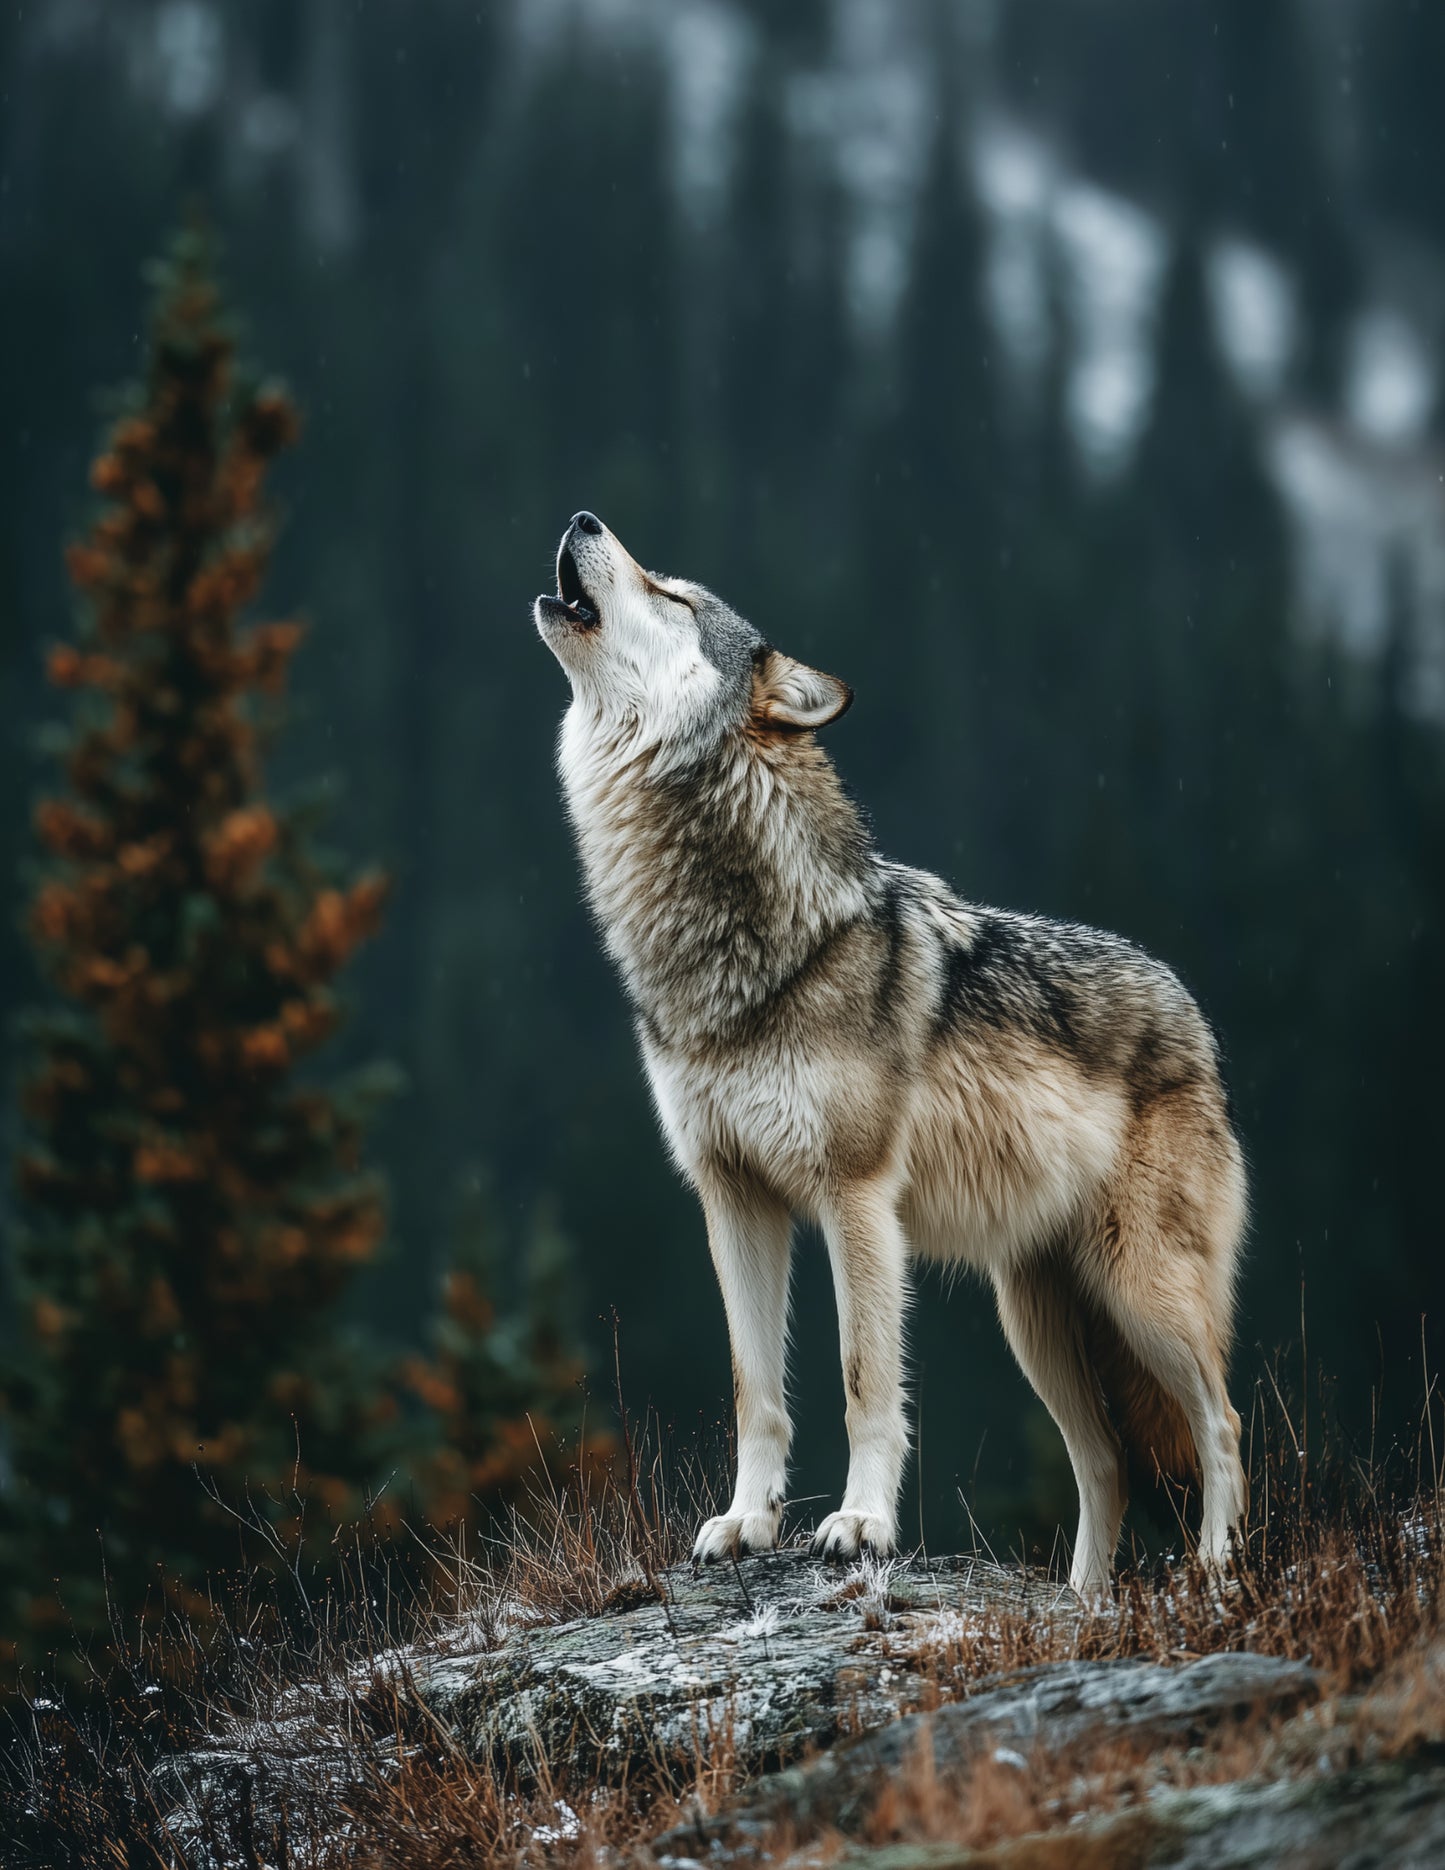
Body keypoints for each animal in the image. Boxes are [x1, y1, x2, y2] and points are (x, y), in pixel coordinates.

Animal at [534, 511, 1247, 1598]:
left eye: (673, 595)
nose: (582, 519)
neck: (733, 956)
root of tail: (1191, 1013)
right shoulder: (732, 1198)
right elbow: (755, 1390)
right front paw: (746, 1523)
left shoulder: (855, 1197)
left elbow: (863, 1380)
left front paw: (861, 1525)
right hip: (1036, 1323)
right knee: (1106, 1464)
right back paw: (1081, 1600)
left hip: (1143, 1295)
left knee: (1220, 1424)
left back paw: (1211, 1574)